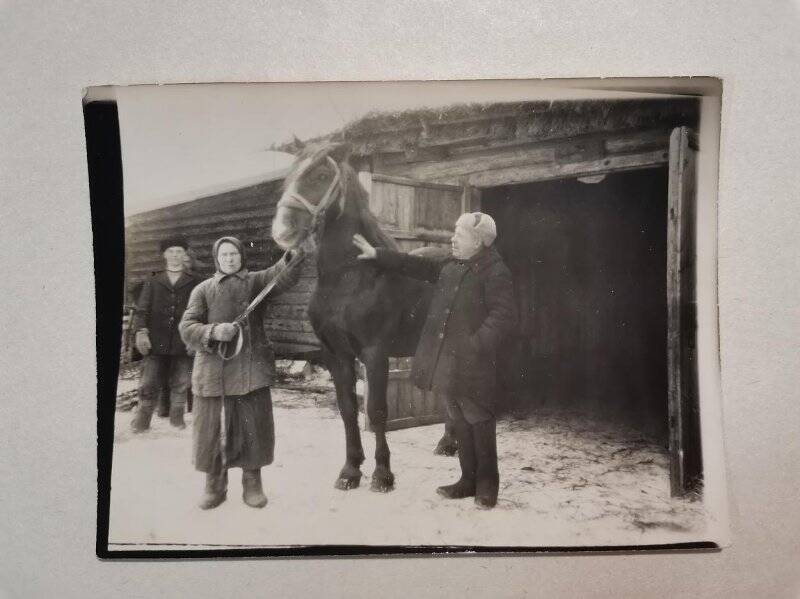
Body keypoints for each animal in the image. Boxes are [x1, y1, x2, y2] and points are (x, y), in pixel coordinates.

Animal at [272, 141, 454, 492]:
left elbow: (377, 410)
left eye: (321, 175)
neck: (349, 277)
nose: (282, 230)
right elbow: (347, 410)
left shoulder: (375, 353)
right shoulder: (336, 355)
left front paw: (382, 475)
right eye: (287, 176)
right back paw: (448, 444)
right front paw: (350, 471)